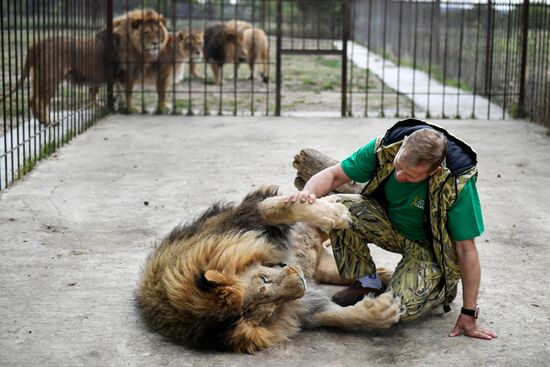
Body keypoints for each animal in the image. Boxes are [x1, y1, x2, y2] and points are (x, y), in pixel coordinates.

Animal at [137, 187, 406, 354]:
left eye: (264, 279)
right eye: (270, 311)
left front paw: (332, 213)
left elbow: (275, 209)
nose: (300, 283)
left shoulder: (241, 217)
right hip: (317, 263)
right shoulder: (303, 309)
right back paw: (383, 274)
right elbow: (338, 317)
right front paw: (383, 312)